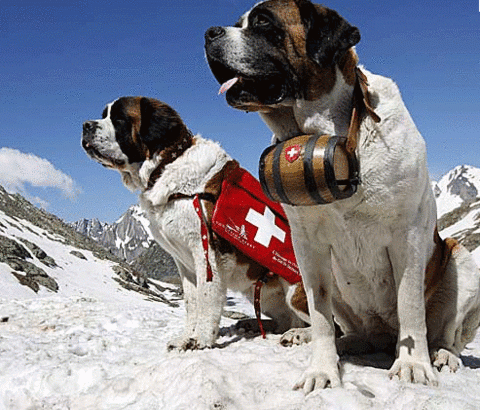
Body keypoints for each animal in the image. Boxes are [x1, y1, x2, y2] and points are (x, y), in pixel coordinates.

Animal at [80, 95, 306, 350]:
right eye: (104, 115)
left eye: (119, 119)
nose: (85, 125)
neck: (166, 165)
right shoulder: (183, 262)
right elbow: (192, 301)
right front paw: (186, 337)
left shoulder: (207, 252)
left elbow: (207, 297)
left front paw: (202, 339)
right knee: (284, 321)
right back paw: (253, 324)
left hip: (295, 290)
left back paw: (300, 334)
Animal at [205, 0, 480, 392]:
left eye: (263, 22)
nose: (209, 33)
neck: (335, 136)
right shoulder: (308, 246)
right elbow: (320, 314)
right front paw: (321, 370)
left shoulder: (408, 237)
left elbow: (410, 307)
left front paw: (413, 365)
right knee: (350, 330)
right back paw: (333, 341)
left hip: (462, 262)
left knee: (446, 335)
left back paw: (440, 356)